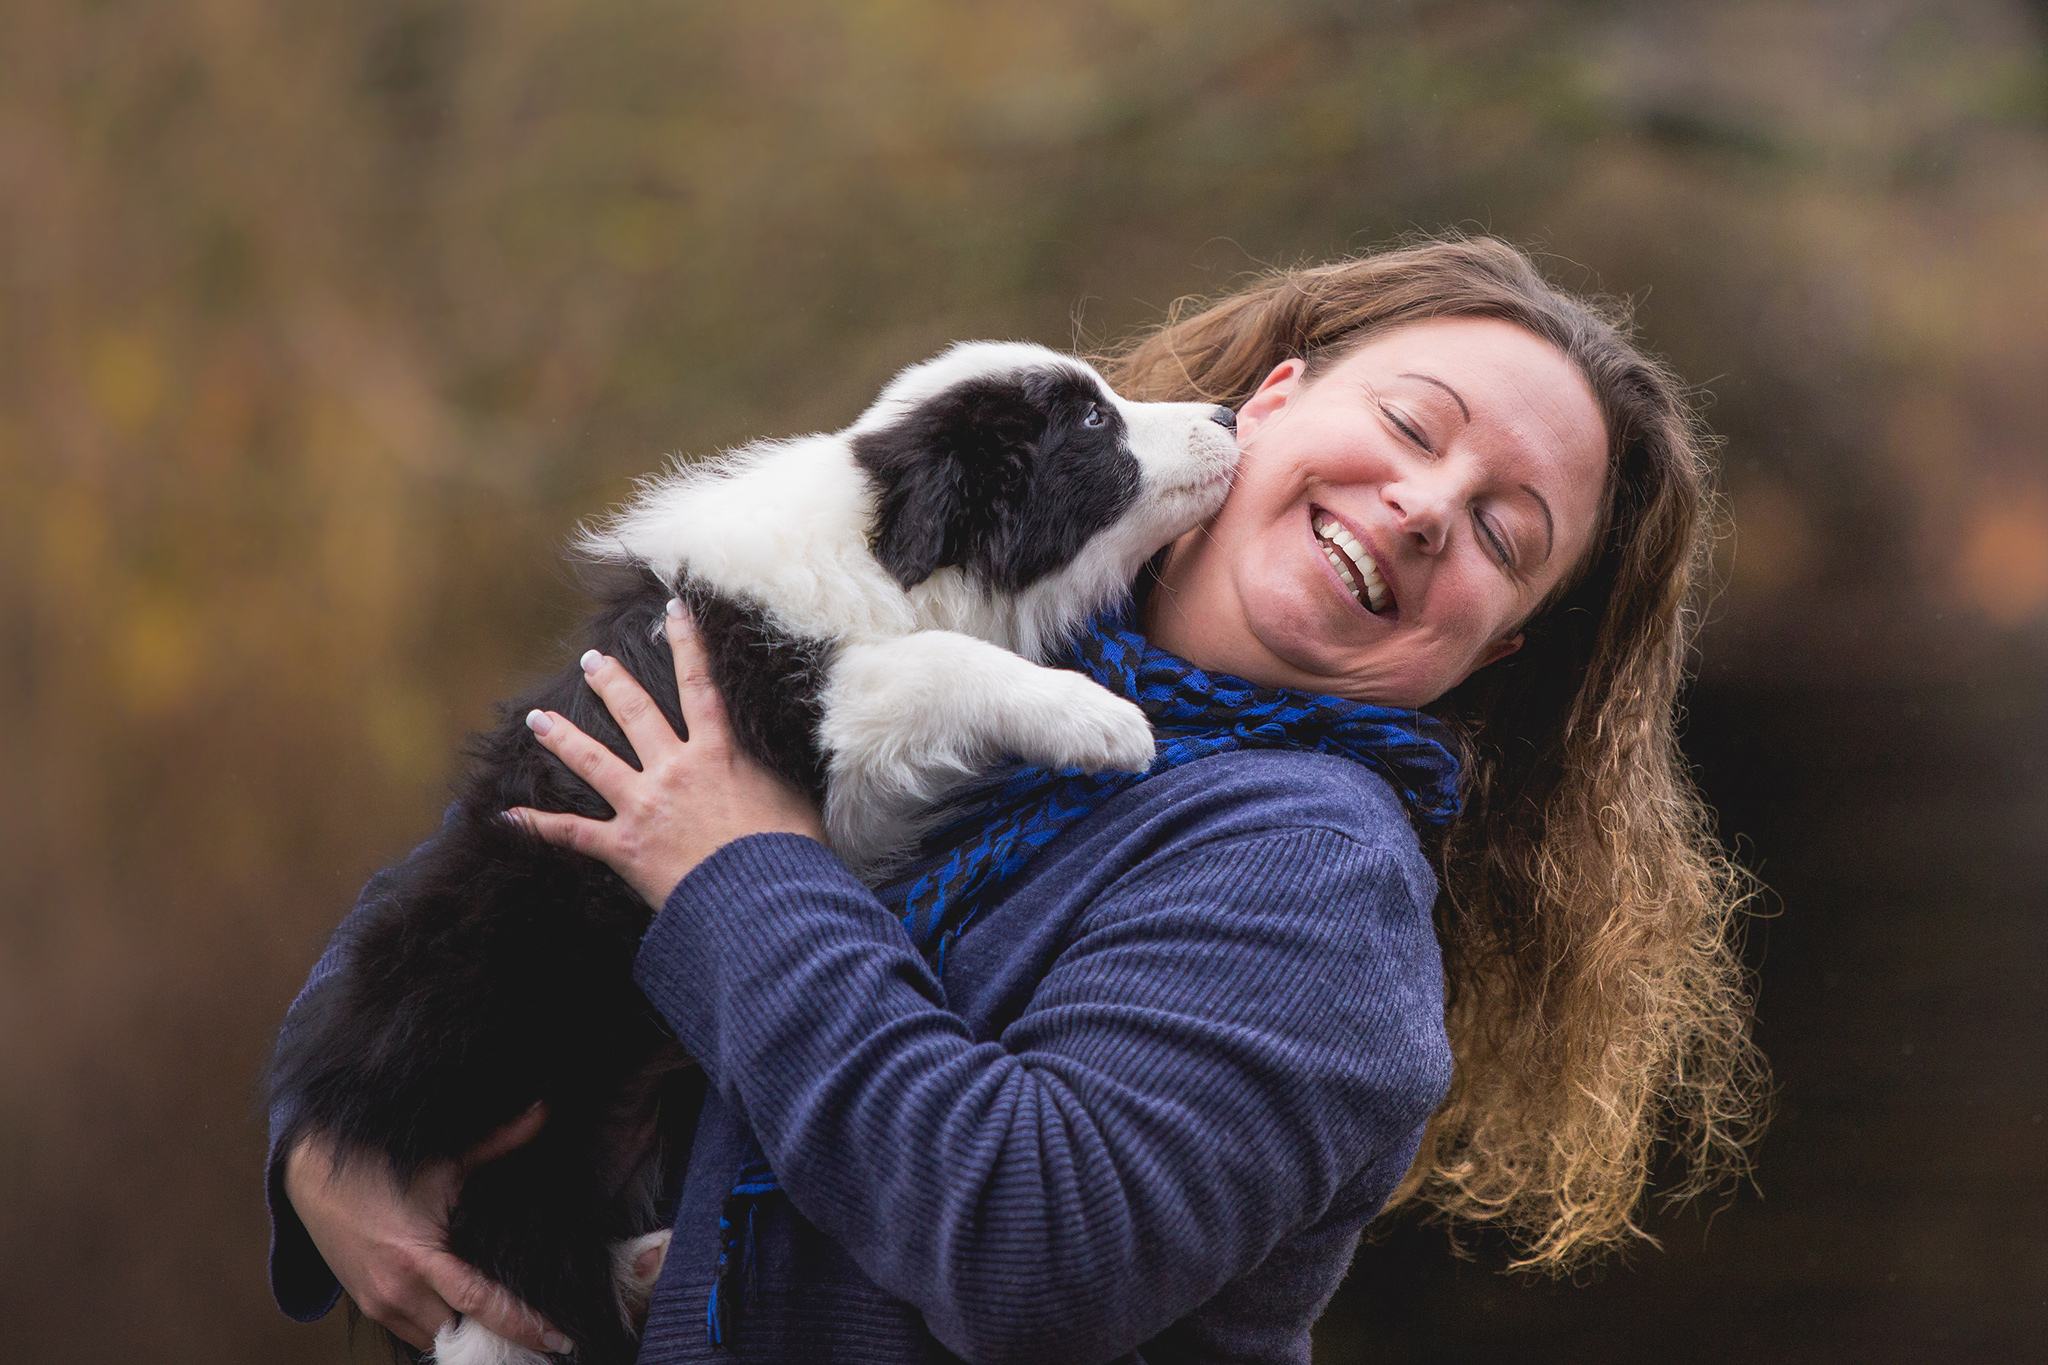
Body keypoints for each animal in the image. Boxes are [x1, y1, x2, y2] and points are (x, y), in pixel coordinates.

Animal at [266, 343, 1236, 1365]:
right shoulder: (823, 720)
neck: (881, 548)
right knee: (511, 1268)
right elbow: (942, 660)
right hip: (511, 1049)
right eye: (1090, 423)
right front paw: (1101, 720)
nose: (1228, 416)